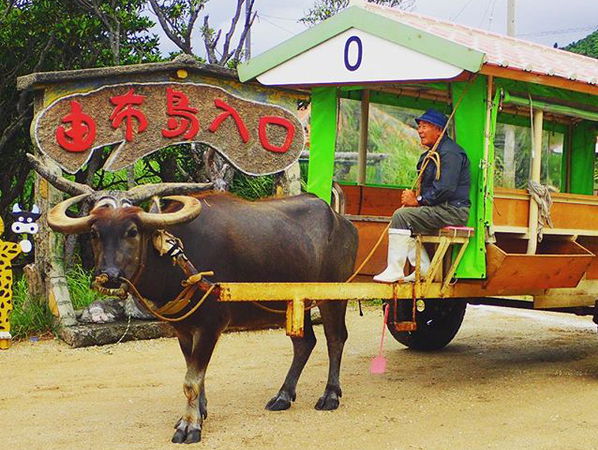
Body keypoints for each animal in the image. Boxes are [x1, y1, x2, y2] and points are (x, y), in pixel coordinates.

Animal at [32, 158, 358, 442]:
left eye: (132, 231)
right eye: (95, 233)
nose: (108, 276)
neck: (179, 261)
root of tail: (341, 221)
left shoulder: (210, 326)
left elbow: (191, 380)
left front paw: (189, 426)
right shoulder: (183, 329)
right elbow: (195, 375)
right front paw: (199, 412)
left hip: (333, 296)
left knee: (336, 338)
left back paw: (330, 394)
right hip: (294, 302)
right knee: (305, 342)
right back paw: (283, 395)